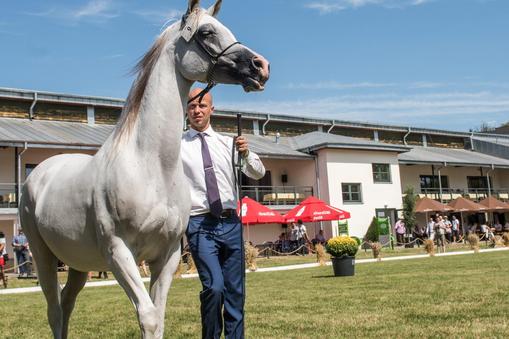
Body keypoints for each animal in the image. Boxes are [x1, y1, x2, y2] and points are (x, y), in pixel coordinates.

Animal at [17, 1, 268, 338]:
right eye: (207, 32)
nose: (260, 66)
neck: (150, 166)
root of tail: (39, 173)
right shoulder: (119, 253)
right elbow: (147, 317)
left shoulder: (167, 256)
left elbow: (158, 316)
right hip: (42, 255)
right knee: (55, 311)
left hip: (78, 262)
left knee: (67, 304)